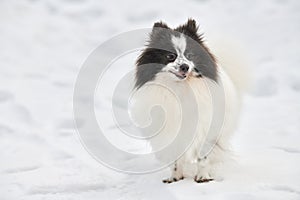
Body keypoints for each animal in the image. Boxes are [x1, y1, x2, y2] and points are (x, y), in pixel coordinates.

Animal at [131, 18, 246, 183]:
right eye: (170, 56)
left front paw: (203, 177)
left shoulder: (207, 129)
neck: (181, 88)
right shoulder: (173, 134)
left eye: (190, 55)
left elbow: (203, 158)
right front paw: (175, 178)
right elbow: (175, 161)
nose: (185, 66)